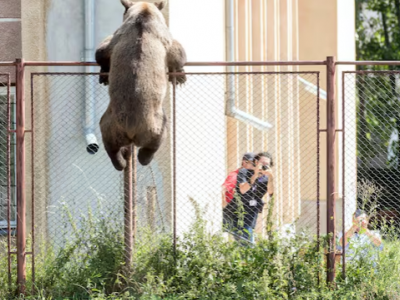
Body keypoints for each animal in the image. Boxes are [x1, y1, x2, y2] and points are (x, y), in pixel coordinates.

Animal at [96, 0, 187, 170]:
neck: (143, 13)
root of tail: (131, 130)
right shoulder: (163, 37)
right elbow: (178, 52)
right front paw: (180, 76)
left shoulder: (116, 40)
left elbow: (102, 52)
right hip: (153, 124)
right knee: (158, 137)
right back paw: (142, 157)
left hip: (111, 123)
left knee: (109, 142)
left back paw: (120, 161)